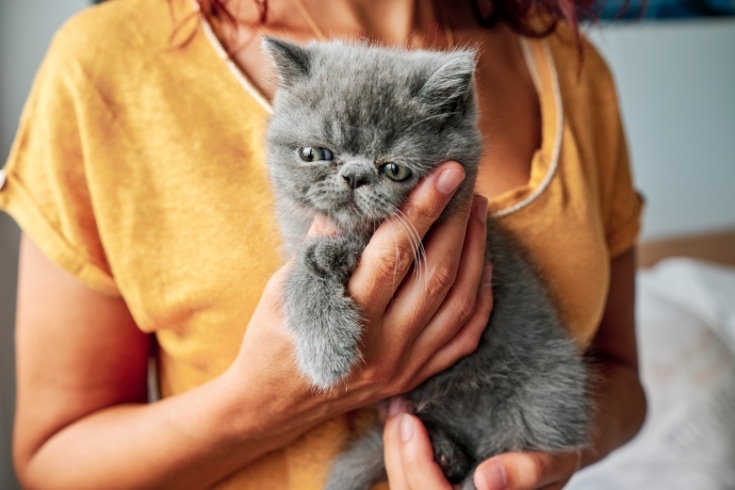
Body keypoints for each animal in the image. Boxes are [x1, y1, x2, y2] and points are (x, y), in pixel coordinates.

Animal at [262, 36, 588, 488]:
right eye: (315, 153)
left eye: (394, 169)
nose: (354, 175)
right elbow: (298, 276)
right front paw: (326, 337)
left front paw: (326, 347)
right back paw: (445, 452)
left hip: (546, 393)